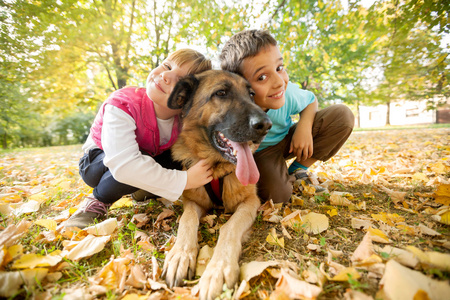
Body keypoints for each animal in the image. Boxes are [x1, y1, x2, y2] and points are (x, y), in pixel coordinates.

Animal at [164, 69, 272, 298]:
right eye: (221, 93)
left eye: (251, 94)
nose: (266, 125)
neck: (216, 169)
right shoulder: (192, 202)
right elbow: (186, 221)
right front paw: (180, 255)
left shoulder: (251, 202)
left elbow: (229, 228)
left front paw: (218, 270)